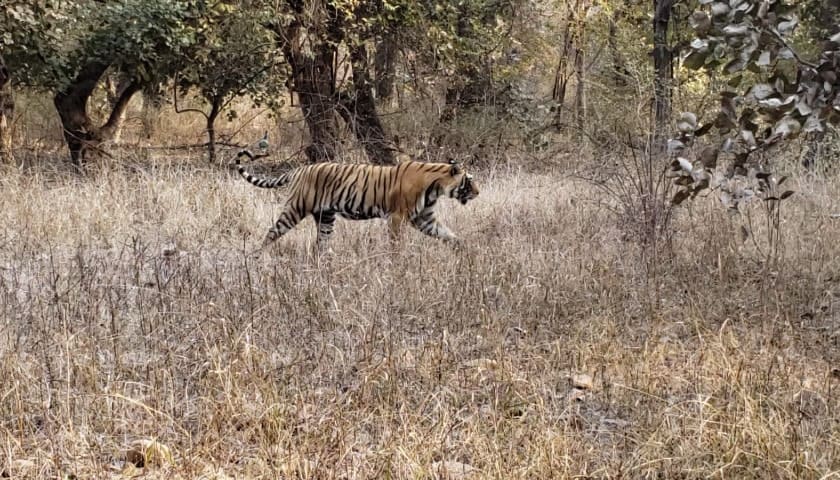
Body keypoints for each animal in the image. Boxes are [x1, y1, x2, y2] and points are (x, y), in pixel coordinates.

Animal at [233, 148, 480, 249]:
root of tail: (299, 170)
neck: (436, 188)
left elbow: (449, 234)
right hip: (295, 208)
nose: (478, 192)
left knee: (320, 246)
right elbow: (396, 244)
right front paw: (397, 264)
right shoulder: (397, 217)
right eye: (468, 181)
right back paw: (257, 258)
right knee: (271, 232)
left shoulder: (425, 218)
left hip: (325, 217)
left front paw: (466, 250)